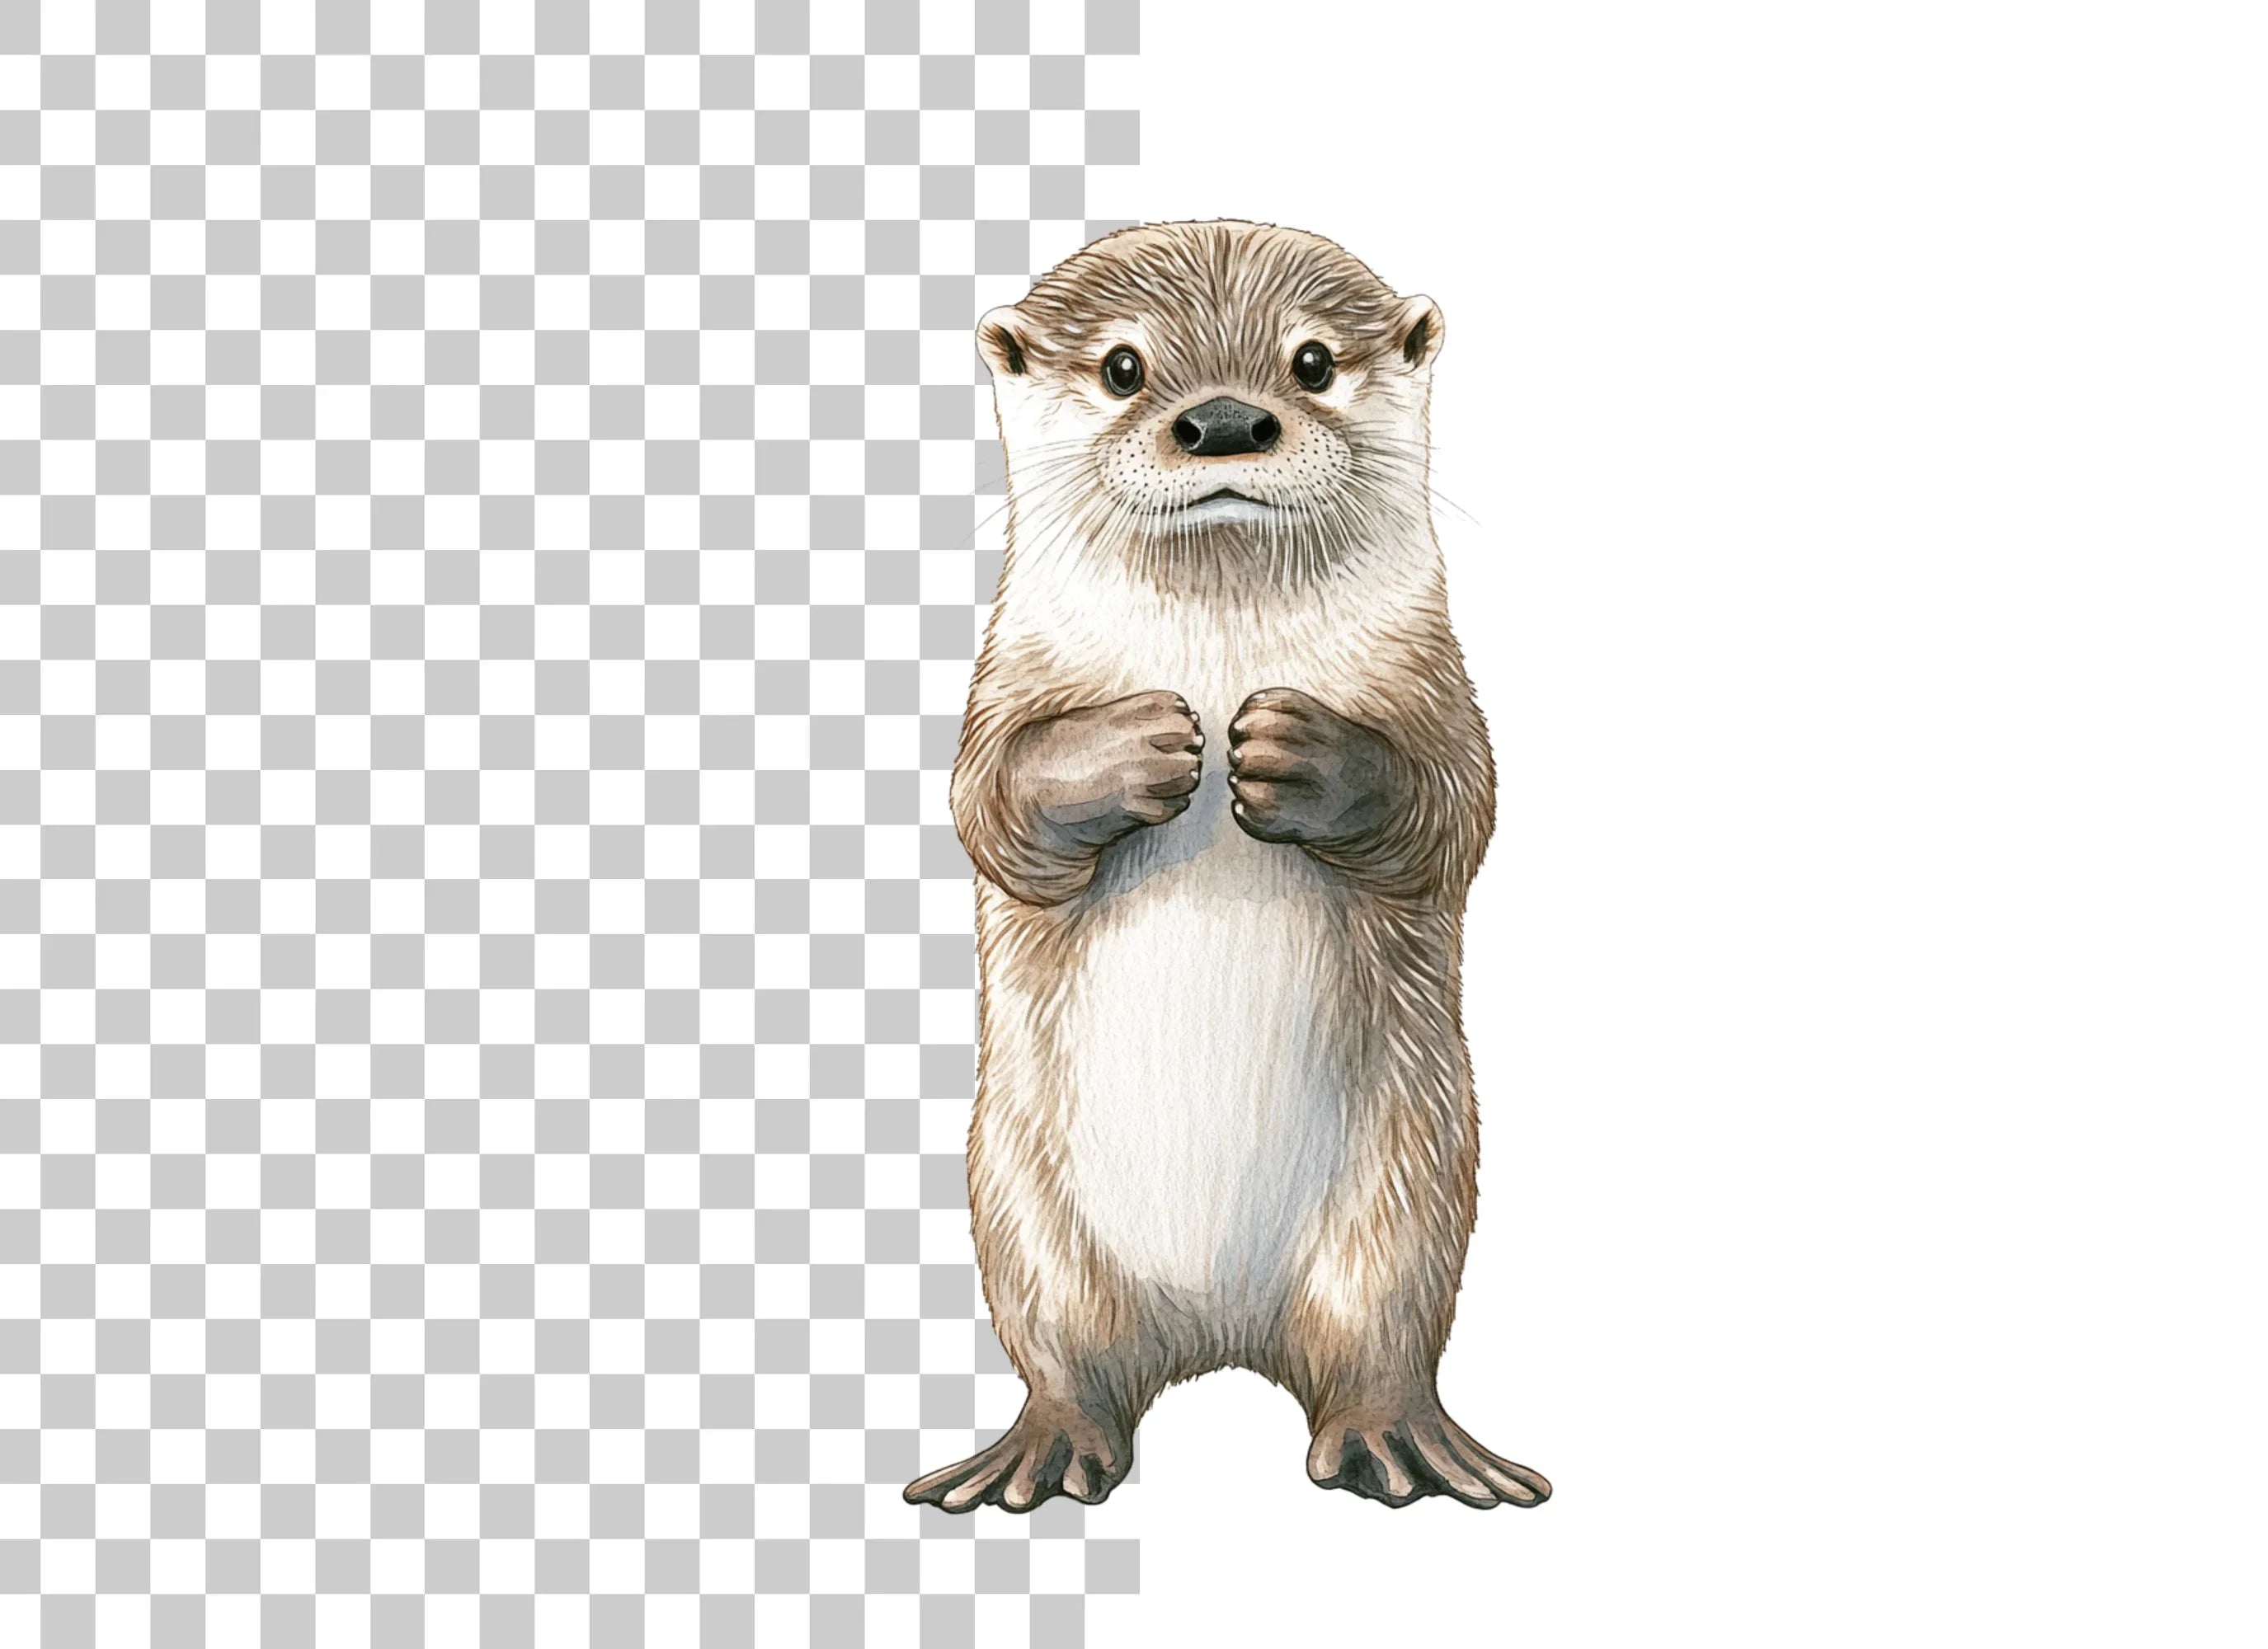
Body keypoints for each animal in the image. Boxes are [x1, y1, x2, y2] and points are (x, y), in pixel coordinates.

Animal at [904, 220, 1550, 1513]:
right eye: (1121, 367)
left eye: (1310, 362)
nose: (1221, 421)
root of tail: (1217, 1329)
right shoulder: (1002, 684)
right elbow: (983, 809)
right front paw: (1135, 745)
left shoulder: (1438, 686)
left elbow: (1457, 808)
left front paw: (1294, 752)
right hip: (1025, 1224)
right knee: (1067, 1357)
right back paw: (1045, 1446)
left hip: (1404, 1208)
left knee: (1378, 1343)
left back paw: (1396, 1441)